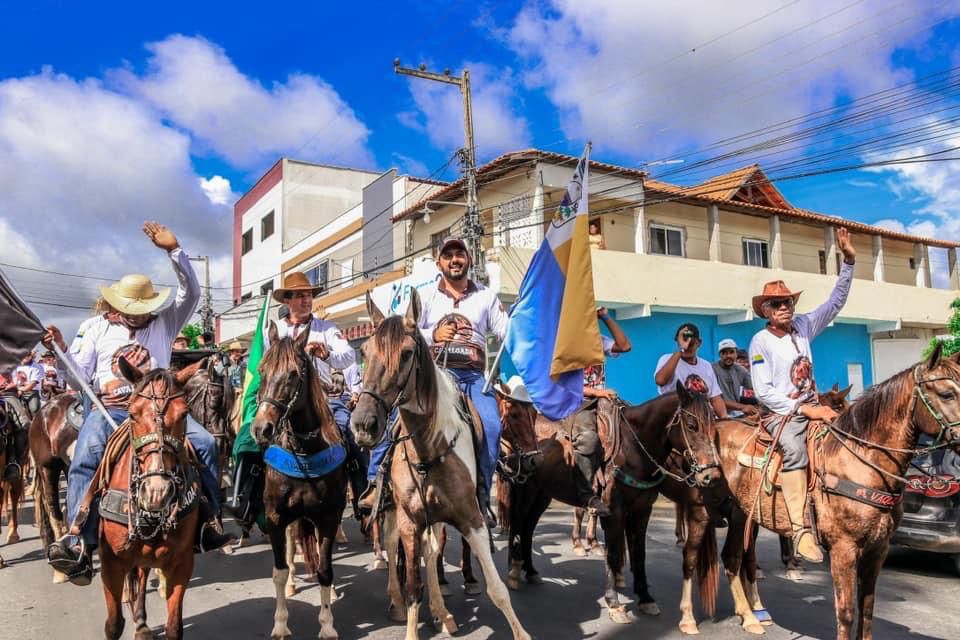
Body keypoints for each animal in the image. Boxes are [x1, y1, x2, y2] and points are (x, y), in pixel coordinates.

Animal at [97, 360, 204, 640]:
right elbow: (113, 625)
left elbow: (174, 627)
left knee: (142, 574)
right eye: (132, 413)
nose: (156, 492)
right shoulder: (111, 562)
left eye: (184, 414)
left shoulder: (181, 562)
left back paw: (142, 623)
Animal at [253, 324, 346, 640]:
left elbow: (325, 570)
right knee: (293, 546)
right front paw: (280, 624)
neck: (305, 450)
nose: (262, 428)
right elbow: (279, 570)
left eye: (293, 373)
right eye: (261, 370)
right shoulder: (275, 517)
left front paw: (327, 625)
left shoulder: (328, 517)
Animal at [352, 290, 532, 640]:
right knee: (393, 543)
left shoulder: (471, 518)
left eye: (407, 353)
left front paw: (521, 632)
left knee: (431, 550)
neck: (428, 448)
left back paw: (442, 613)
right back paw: (397, 601)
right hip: (392, 508)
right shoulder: (409, 520)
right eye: (364, 351)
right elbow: (412, 587)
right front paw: (409, 620)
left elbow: (497, 589)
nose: (364, 425)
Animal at [692, 344, 960, 640]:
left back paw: (753, 614)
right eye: (947, 394)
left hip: (743, 514)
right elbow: (846, 612)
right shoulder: (844, 549)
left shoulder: (878, 549)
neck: (861, 461)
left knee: (737, 557)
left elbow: (867, 609)